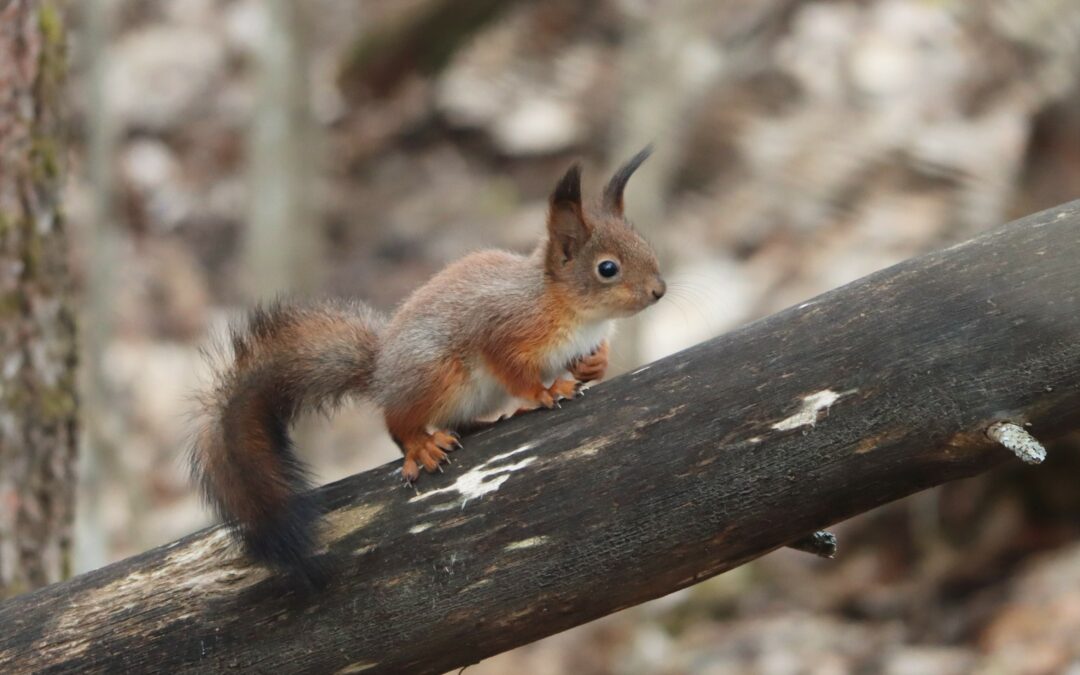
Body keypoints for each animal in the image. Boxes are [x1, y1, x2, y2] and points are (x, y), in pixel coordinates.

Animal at [194, 146, 665, 583]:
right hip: (436, 373)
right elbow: (515, 372)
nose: (659, 291)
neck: (567, 308)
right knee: (397, 424)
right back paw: (421, 445)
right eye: (607, 268)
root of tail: (381, 373)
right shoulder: (504, 332)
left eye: (645, 245)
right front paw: (546, 392)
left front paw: (593, 366)